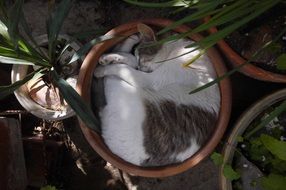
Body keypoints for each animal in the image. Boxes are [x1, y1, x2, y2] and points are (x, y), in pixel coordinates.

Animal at [92, 23, 220, 166]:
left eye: (142, 59)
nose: (139, 68)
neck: (178, 50)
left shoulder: (151, 79)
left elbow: (124, 67)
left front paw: (106, 66)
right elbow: (130, 59)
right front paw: (113, 56)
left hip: (125, 92)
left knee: (111, 77)